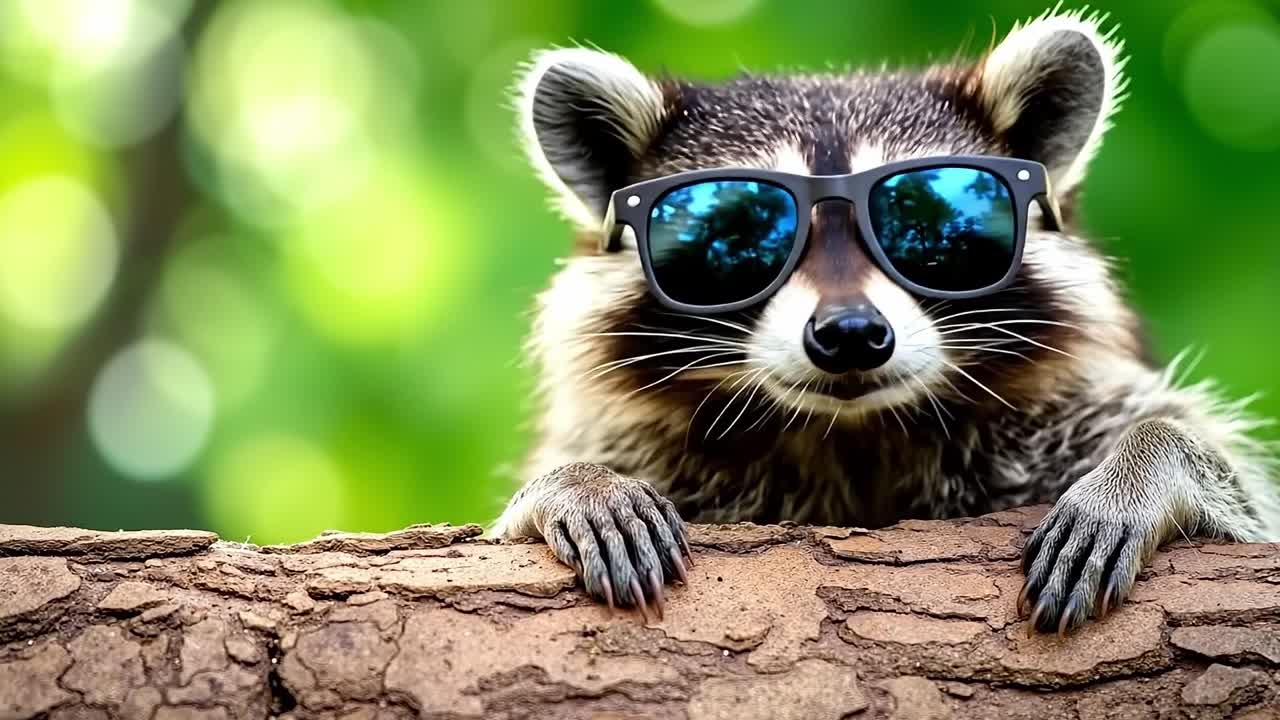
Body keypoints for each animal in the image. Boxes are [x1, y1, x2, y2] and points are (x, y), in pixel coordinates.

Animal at [493, 8, 1280, 633]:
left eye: (924, 222)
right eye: (739, 230)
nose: (849, 335)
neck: (852, 435)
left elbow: (1247, 504)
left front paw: (1152, 459)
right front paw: (574, 482)